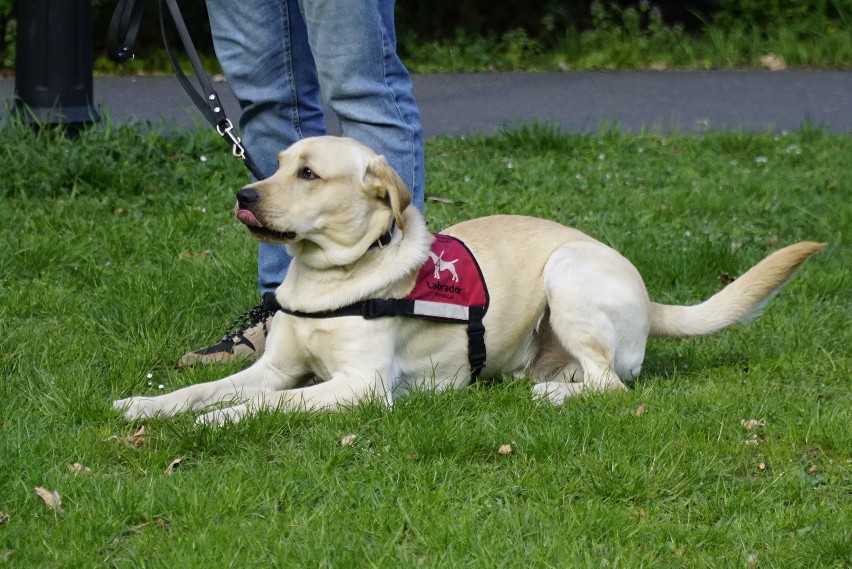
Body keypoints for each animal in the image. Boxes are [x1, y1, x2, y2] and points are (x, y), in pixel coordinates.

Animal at [115, 135, 824, 424]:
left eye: (309, 174)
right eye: (278, 163)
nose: (243, 194)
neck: (331, 276)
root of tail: (650, 298)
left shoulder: (361, 388)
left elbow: (267, 404)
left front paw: (220, 421)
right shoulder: (274, 366)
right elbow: (201, 390)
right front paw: (148, 406)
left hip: (568, 272)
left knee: (611, 388)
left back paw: (552, 397)